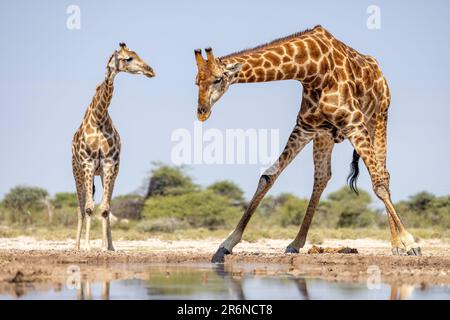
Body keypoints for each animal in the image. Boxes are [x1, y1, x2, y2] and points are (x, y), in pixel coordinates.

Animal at [71, 42, 155, 251]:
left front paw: (104, 247)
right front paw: (87, 247)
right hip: (77, 171)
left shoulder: (109, 164)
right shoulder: (88, 163)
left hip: (108, 173)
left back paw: (110, 245)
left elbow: (105, 208)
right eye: (128, 58)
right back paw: (76, 246)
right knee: (80, 207)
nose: (150, 70)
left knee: (105, 205)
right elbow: (89, 207)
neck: (99, 116)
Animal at [194, 25, 422, 262]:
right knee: (322, 177)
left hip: (378, 119)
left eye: (217, 79)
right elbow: (268, 176)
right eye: (196, 82)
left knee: (383, 174)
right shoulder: (306, 128)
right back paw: (296, 242)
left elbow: (378, 183)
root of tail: (380, 74)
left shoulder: (354, 123)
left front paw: (410, 243)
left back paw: (396, 244)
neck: (313, 70)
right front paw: (226, 244)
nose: (202, 112)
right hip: (326, 135)